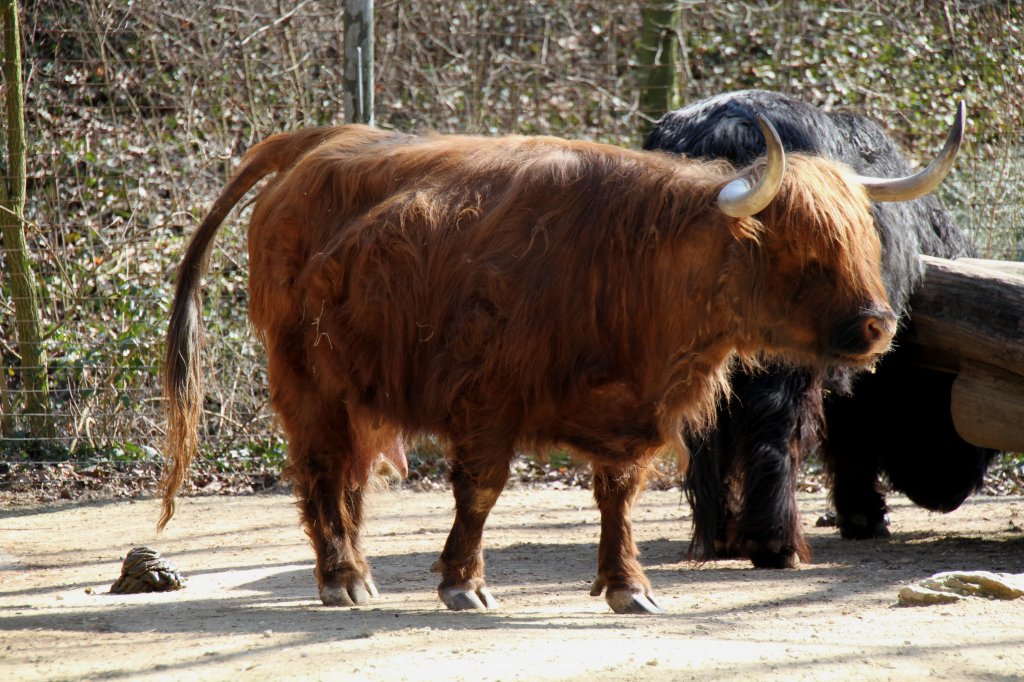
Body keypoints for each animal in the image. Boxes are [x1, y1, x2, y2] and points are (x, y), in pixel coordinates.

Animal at [159, 116, 937, 610]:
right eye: (803, 250)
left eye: (864, 242)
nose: (876, 325)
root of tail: (322, 141)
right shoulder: (489, 397)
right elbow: (480, 491)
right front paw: (462, 582)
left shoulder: (632, 413)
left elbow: (618, 496)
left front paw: (629, 585)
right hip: (306, 377)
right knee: (320, 467)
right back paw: (341, 577)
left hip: (357, 387)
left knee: (350, 475)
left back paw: (359, 573)